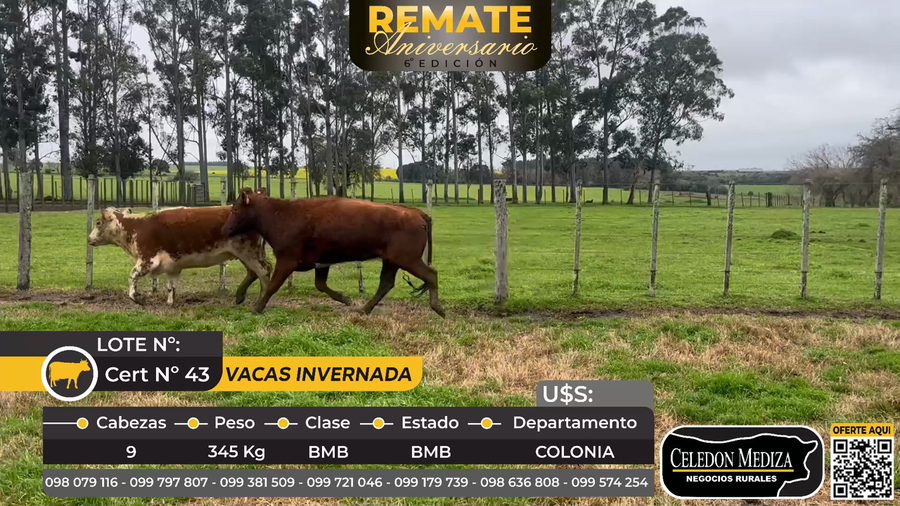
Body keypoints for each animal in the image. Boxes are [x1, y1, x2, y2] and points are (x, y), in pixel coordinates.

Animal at [88, 205, 272, 306]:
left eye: (98, 222)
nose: (89, 238)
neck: (137, 227)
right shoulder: (172, 267)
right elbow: (171, 286)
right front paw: (170, 302)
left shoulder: (148, 260)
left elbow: (132, 276)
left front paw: (136, 298)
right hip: (243, 254)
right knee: (253, 272)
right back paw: (240, 296)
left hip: (250, 253)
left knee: (264, 271)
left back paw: (262, 300)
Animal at [223, 189, 445, 317]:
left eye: (234, 209)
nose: (225, 229)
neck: (280, 215)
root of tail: (416, 212)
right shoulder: (322, 262)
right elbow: (320, 284)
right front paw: (345, 299)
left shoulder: (286, 261)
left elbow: (272, 286)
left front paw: (257, 308)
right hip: (391, 260)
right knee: (386, 283)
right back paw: (364, 309)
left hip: (408, 259)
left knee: (430, 274)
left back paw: (438, 308)